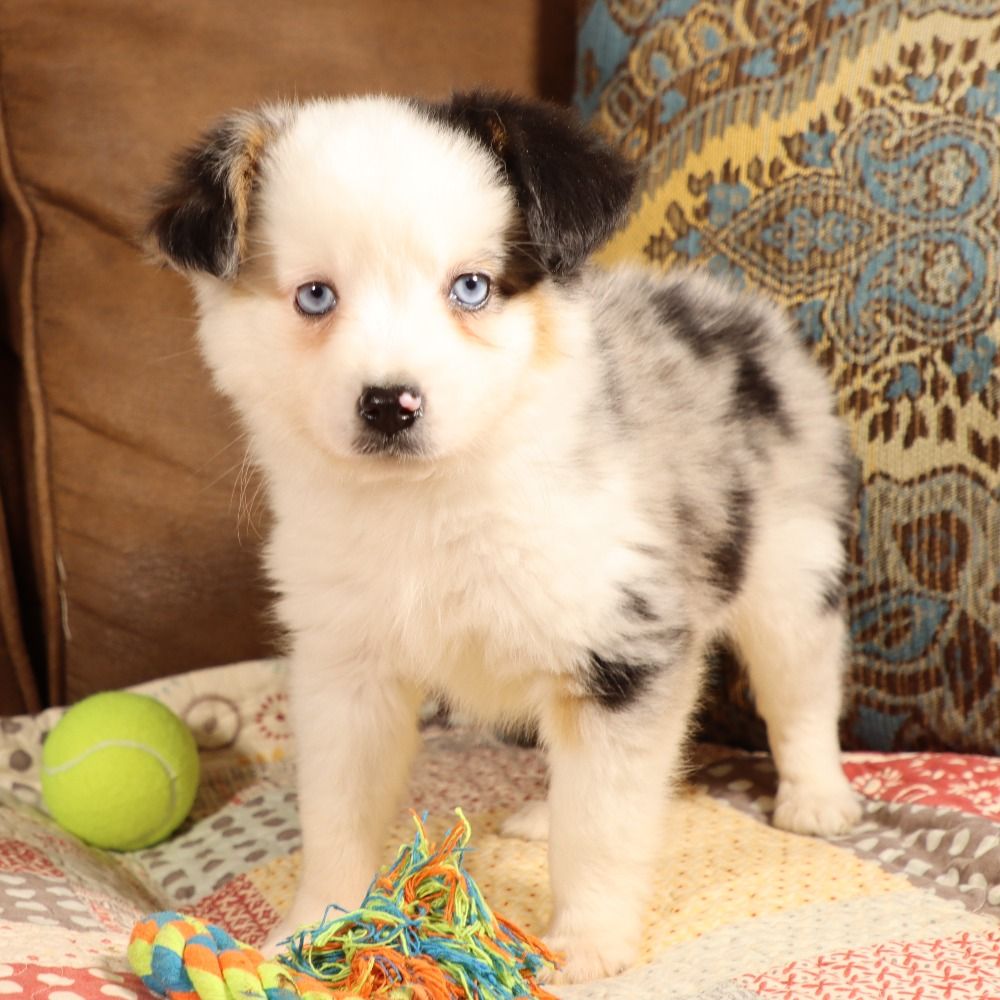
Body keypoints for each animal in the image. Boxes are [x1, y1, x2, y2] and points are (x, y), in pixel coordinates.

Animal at [148, 92, 860, 984]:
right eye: (315, 297)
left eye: (471, 287)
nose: (390, 404)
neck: (429, 502)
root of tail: (728, 304)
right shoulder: (344, 667)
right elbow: (337, 812)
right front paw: (314, 930)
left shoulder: (624, 648)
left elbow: (604, 824)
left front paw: (586, 944)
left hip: (789, 561)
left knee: (799, 685)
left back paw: (816, 795)